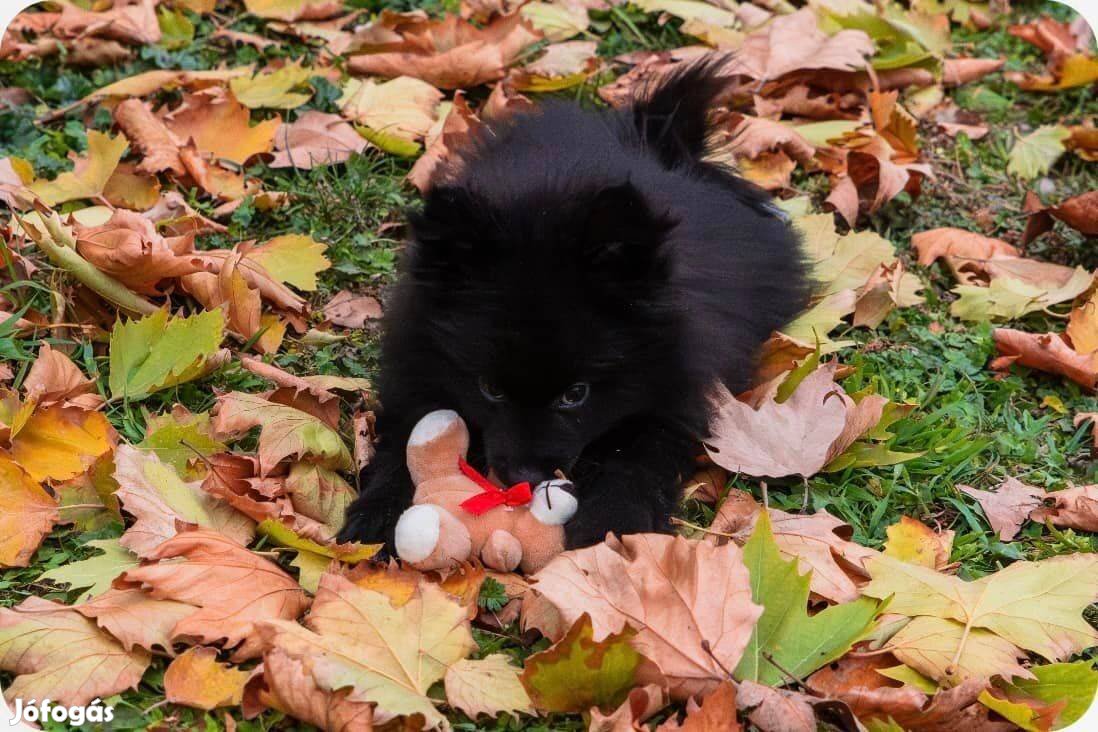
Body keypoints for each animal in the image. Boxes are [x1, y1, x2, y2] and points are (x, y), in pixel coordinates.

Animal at [333, 58, 808, 548]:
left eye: (575, 394)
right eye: (490, 389)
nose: (523, 477)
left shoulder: (675, 390)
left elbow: (640, 457)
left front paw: (610, 529)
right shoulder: (416, 363)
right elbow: (404, 439)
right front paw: (377, 515)